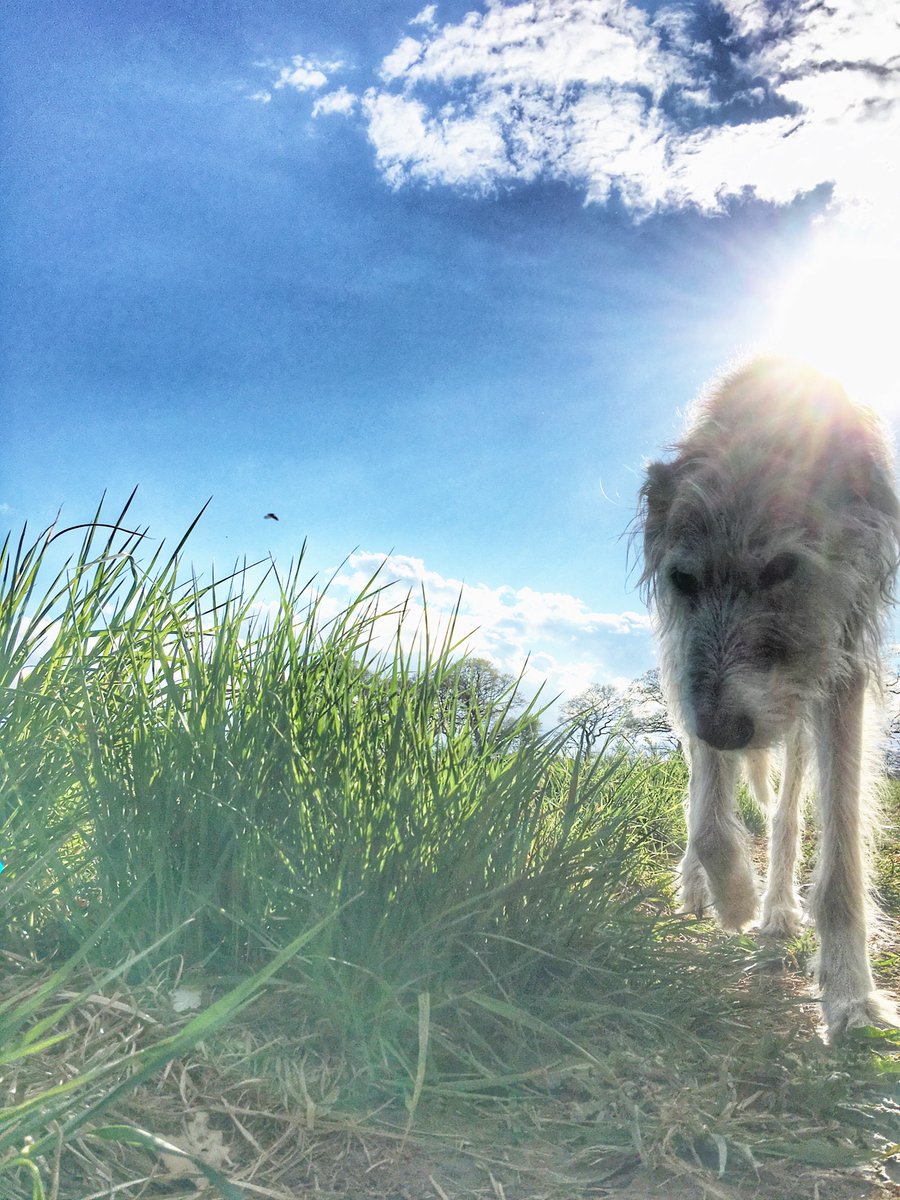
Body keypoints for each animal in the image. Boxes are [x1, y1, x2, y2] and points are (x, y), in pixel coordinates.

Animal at [643, 357, 900, 1041]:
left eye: (783, 568)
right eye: (684, 579)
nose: (728, 731)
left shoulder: (838, 665)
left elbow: (839, 850)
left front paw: (849, 994)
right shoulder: (692, 671)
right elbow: (706, 810)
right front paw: (731, 895)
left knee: (787, 812)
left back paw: (780, 909)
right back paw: (701, 888)